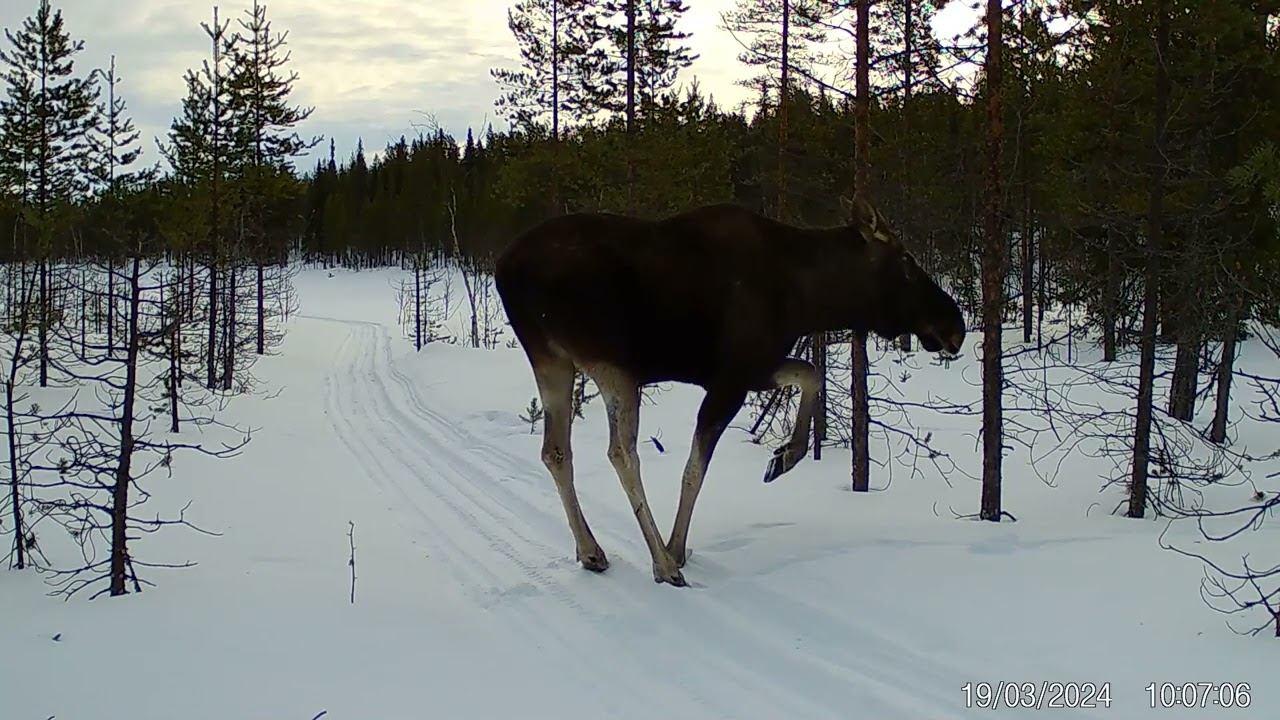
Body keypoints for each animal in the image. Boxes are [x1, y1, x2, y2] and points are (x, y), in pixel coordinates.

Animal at [494, 198, 966, 587]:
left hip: (551, 359)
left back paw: (591, 550)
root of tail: (505, 271)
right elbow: (694, 470)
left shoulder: (757, 367)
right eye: (905, 260)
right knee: (621, 453)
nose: (955, 326)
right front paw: (677, 548)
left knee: (556, 451)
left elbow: (811, 374)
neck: (808, 298)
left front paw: (783, 458)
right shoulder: (730, 378)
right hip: (613, 364)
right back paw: (661, 562)